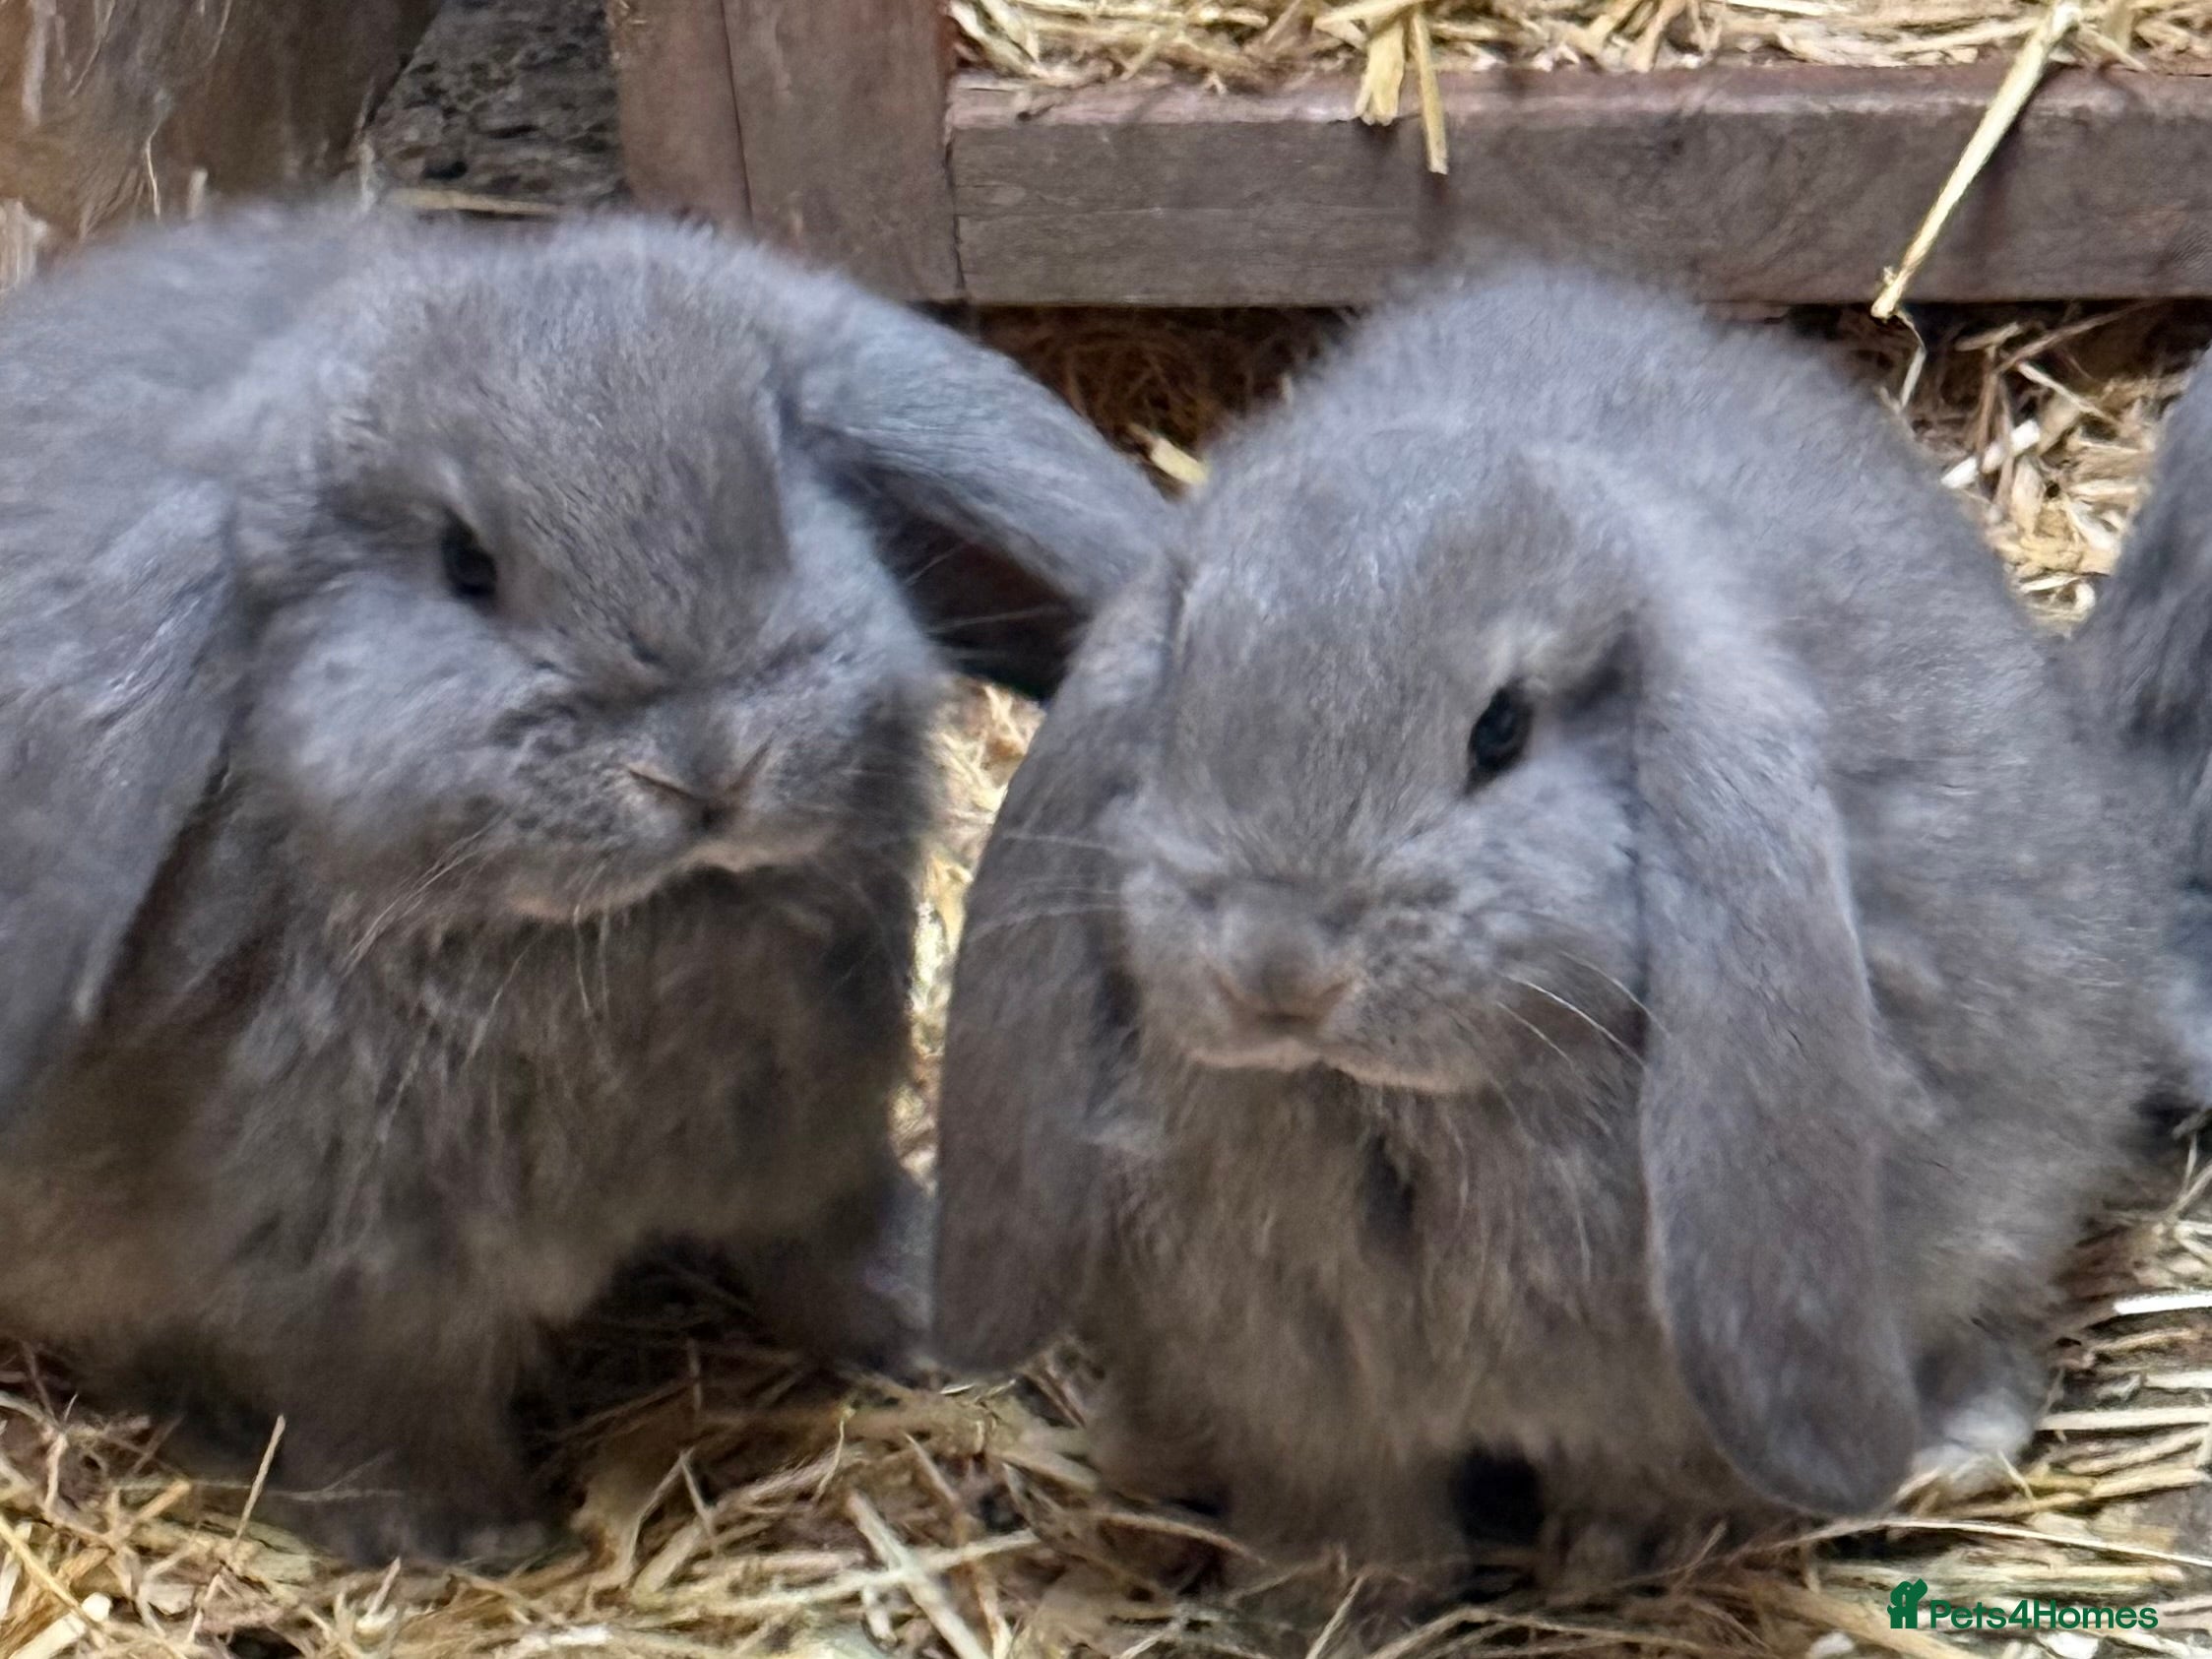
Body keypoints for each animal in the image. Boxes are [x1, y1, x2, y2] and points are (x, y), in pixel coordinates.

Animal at [0, 198, 1169, 1566]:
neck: (642, 929)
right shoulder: (347, 1277)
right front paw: (463, 1538)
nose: (707, 767)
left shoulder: (814, 1146)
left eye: (782, 502)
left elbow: (836, 1247)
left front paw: (929, 1323)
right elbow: (383, 1414)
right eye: (466, 564)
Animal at [931, 259, 2170, 1588]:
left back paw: (1948, 1452)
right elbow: (1345, 1493)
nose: (1278, 966)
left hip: (2015, 1184)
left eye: (1501, 730)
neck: (1393, 1114)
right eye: (1185, 691)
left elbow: (1638, 1471)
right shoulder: (1296, 1394)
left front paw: (1610, 1553)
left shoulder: (1647, 1399)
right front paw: (1338, 1589)